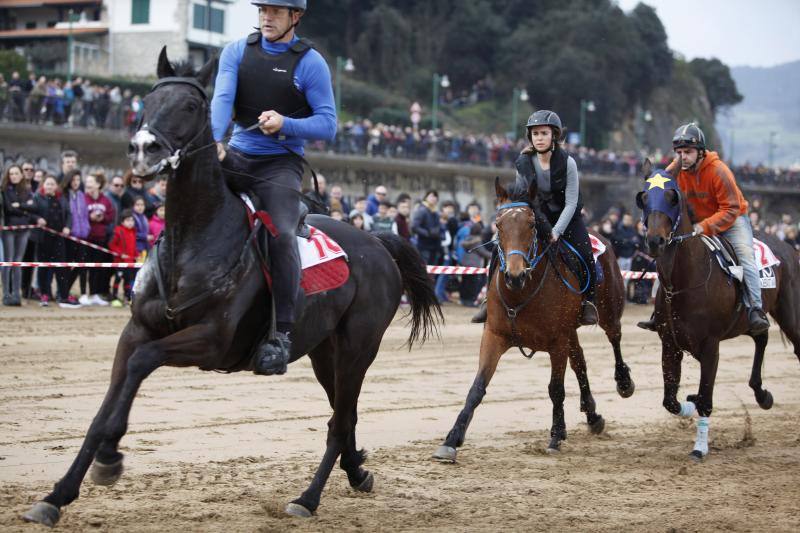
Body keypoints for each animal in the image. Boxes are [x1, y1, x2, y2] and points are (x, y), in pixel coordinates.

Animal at [21, 51, 444, 528]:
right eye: (149, 101)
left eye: (190, 105)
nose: (143, 149)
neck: (194, 238)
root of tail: (377, 242)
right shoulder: (135, 331)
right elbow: (104, 406)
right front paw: (58, 495)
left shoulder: (210, 341)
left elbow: (143, 363)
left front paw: (111, 456)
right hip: (325, 352)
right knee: (345, 414)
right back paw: (357, 472)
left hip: (358, 348)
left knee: (339, 423)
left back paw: (308, 498)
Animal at [434, 176, 636, 462]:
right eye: (498, 225)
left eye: (531, 224)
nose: (515, 275)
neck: (521, 293)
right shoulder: (494, 335)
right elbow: (477, 388)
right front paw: (451, 439)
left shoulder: (557, 341)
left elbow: (556, 389)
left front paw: (556, 435)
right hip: (571, 331)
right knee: (580, 363)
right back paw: (593, 415)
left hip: (609, 310)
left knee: (614, 339)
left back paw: (624, 382)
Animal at [636, 160, 796, 460]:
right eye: (643, 197)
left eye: (672, 197)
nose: (655, 241)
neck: (684, 280)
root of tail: (789, 247)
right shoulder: (670, 344)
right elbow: (671, 400)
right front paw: (688, 401)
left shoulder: (711, 346)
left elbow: (706, 399)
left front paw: (699, 447)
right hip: (747, 320)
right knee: (761, 336)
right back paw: (761, 394)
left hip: (791, 315)